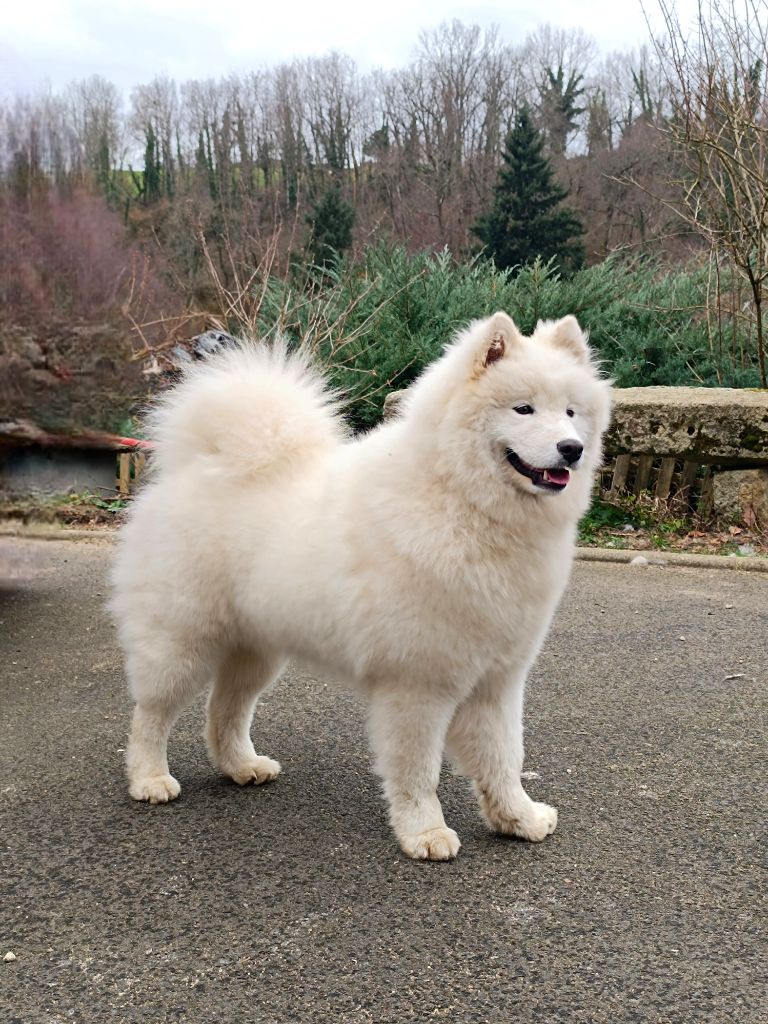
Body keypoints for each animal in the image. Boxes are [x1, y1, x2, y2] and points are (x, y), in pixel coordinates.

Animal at [109, 311, 614, 856]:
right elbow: (417, 771)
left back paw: (242, 766)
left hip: (257, 650)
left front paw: (519, 819)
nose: (572, 449)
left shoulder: (495, 682)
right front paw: (425, 832)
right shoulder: (417, 684)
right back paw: (149, 779)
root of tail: (198, 462)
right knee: (151, 714)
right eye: (524, 409)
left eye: (570, 412)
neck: (460, 502)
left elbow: (504, 759)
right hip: (183, 642)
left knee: (225, 710)